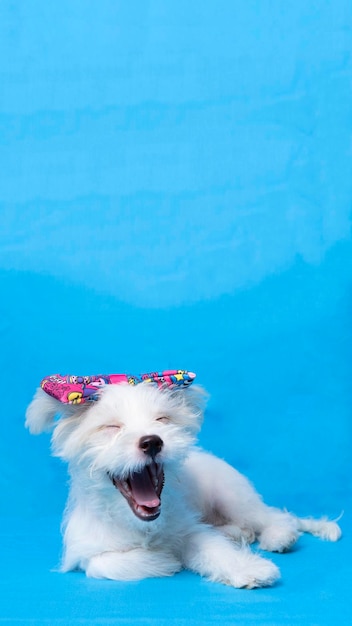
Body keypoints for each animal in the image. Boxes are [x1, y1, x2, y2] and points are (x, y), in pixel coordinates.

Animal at [26, 372, 342, 588]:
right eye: (112, 427)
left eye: (162, 420)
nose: (152, 442)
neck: (138, 525)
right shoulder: (84, 552)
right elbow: (103, 565)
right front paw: (164, 559)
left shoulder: (190, 530)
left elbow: (213, 548)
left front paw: (248, 569)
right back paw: (237, 533)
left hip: (233, 497)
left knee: (275, 516)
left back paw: (278, 536)